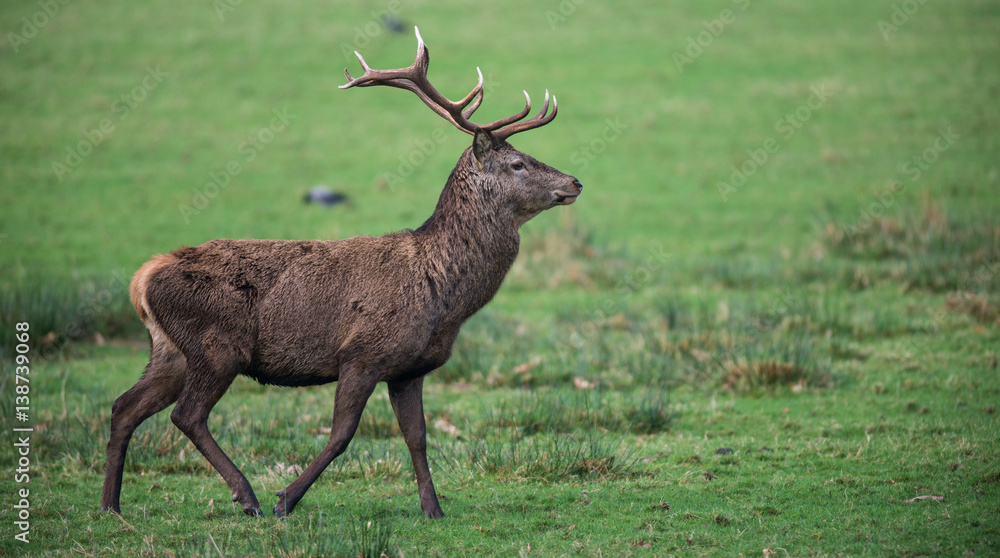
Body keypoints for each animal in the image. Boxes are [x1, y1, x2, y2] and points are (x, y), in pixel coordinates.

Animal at [99, 27, 582, 519]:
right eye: (518, 163)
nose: (575, 182)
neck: (442, 296)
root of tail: (143, 278)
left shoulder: (409, 368)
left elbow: (418, 438)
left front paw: (433, 509)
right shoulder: (360, 354)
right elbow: (342, 435)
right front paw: (286, 499)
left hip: (171, 350)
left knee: (124, 406)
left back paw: (110, 505)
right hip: (217, 345)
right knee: (187, 414)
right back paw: (247, 496)